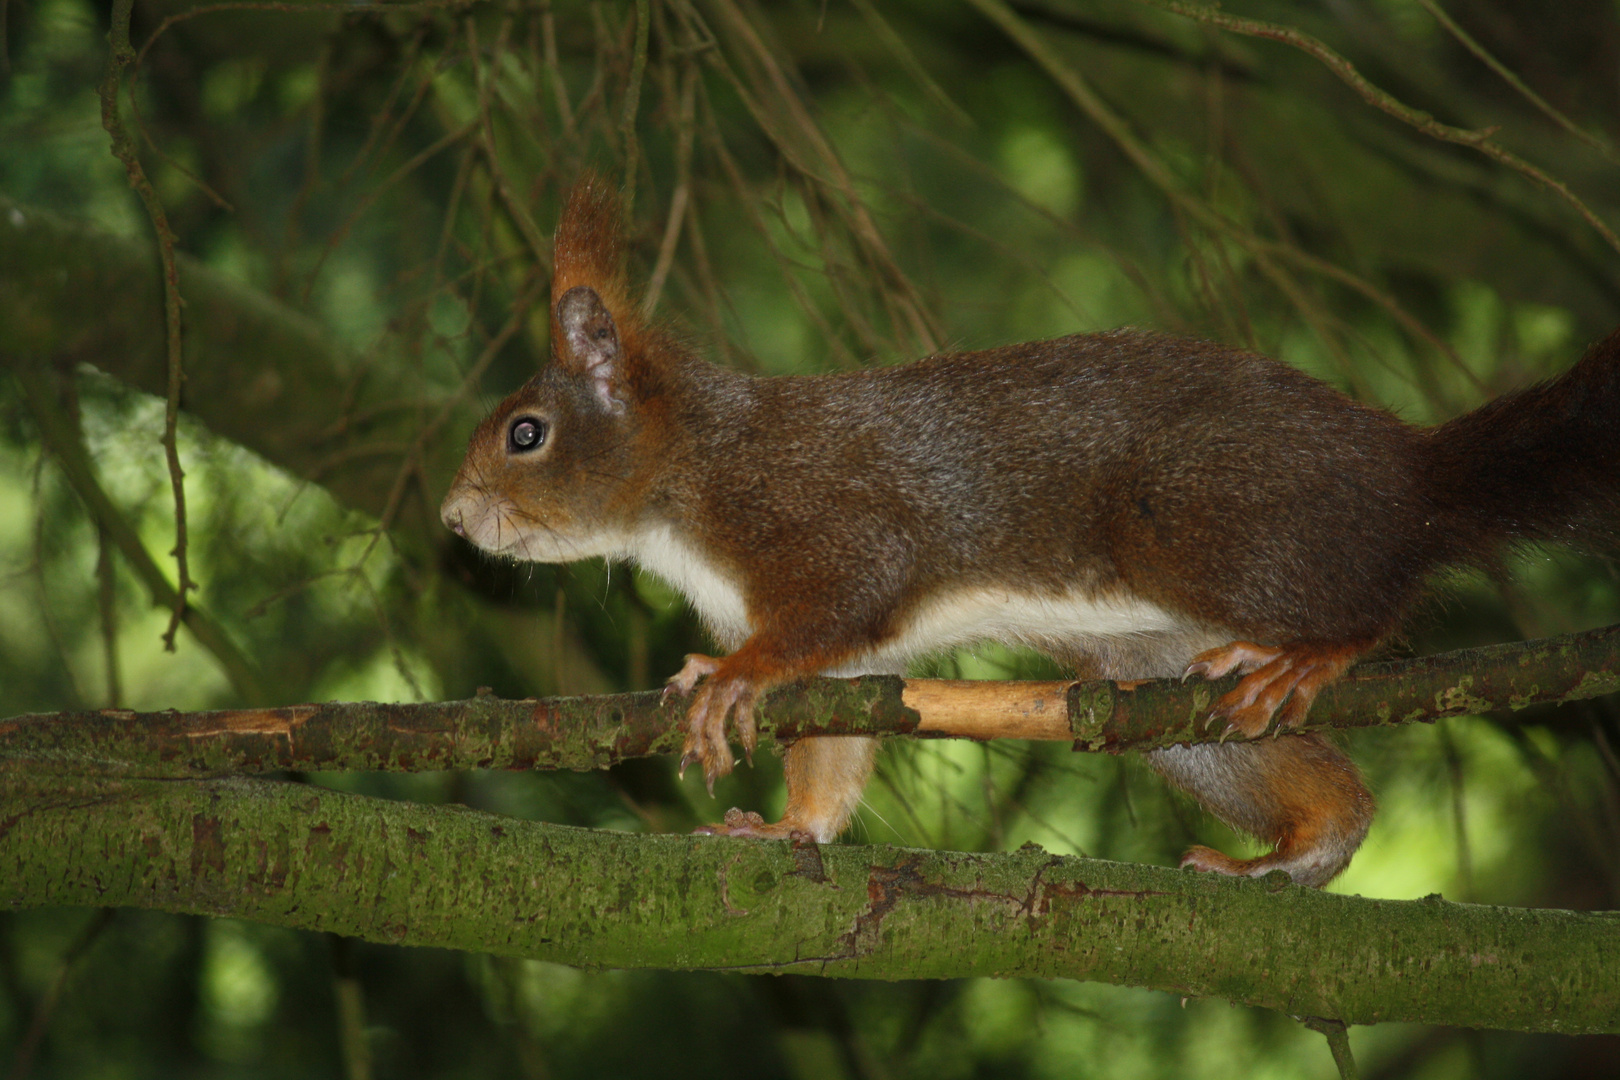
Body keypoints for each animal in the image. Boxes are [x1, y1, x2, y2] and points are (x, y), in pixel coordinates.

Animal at [437, 175, 1620, 887]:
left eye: (527, 434)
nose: (451, 515)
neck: (687, 479)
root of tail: (1411, 472)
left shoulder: (821, 513)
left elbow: (835, 604)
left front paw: (729, 678)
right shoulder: (848, 669)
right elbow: (833, 747)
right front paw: (790, 829)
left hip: (1203, 515)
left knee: (1373, 600)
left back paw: (1320, 653)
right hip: (1158, 675)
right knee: (1305, 775)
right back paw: (1292, 855)